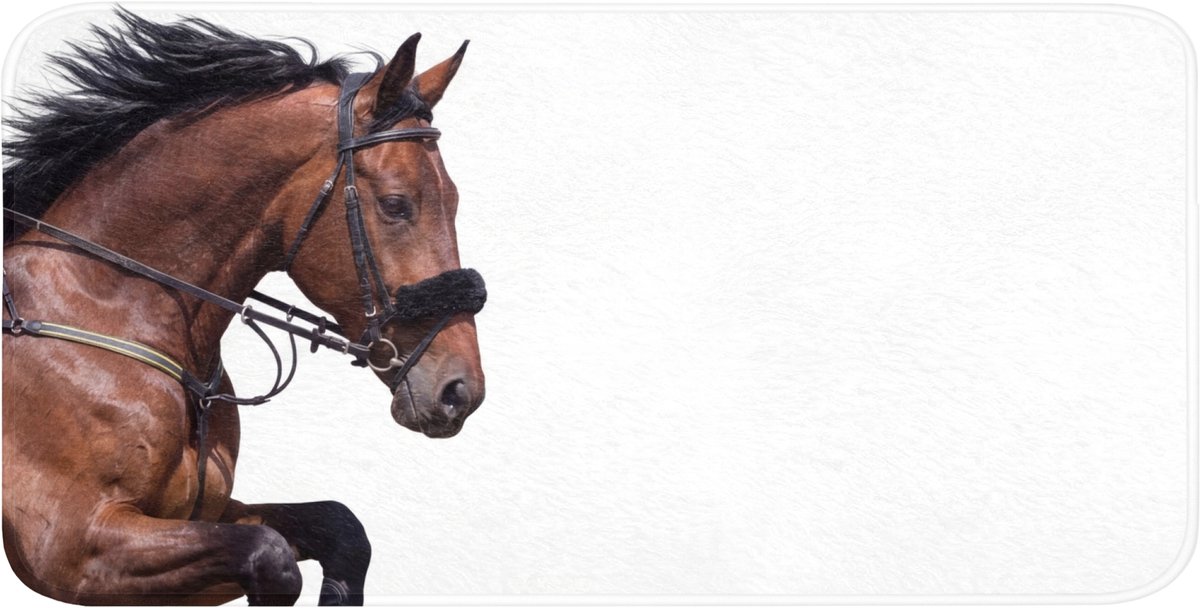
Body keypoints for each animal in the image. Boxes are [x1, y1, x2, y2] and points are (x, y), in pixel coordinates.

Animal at [2, 10, 485, 605]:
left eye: (455, 200)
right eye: (397, 205)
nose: (460, 391)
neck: (109, 302)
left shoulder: (197, 514)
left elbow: (339, 526)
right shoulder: (72, 544)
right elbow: (270, 555)